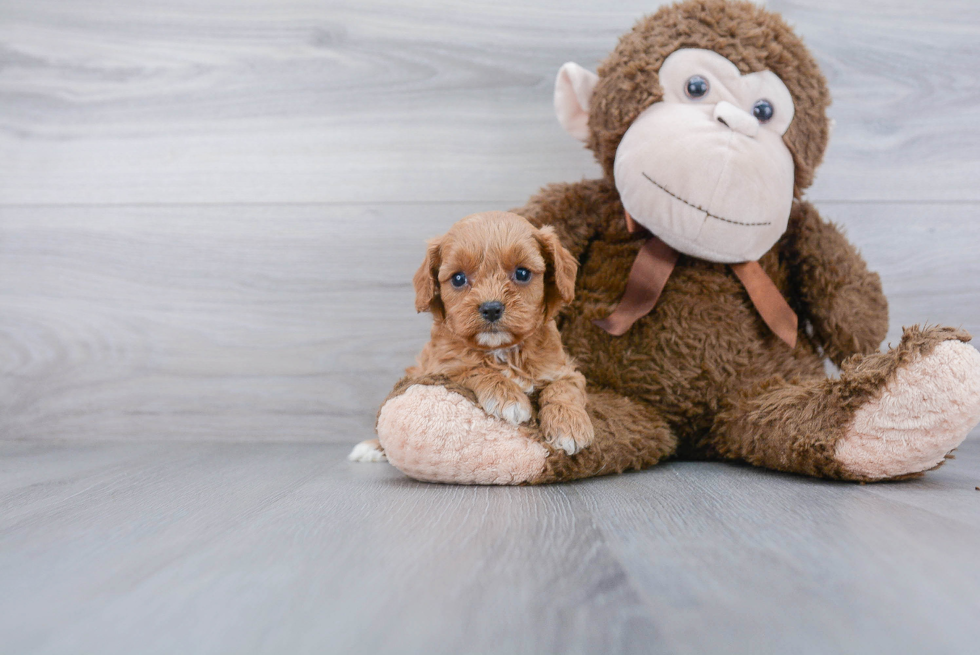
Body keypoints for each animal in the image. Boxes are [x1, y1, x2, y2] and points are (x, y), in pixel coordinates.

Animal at [352, 210, 596, 462]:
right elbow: (474, 368)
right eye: (458, 278)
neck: (502, 350)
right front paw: (507, 396)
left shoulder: (564, 370)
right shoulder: (442, 368)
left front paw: (570, 425)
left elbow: (563, 389)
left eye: (522, 273)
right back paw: (372, 448)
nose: (491, 308)